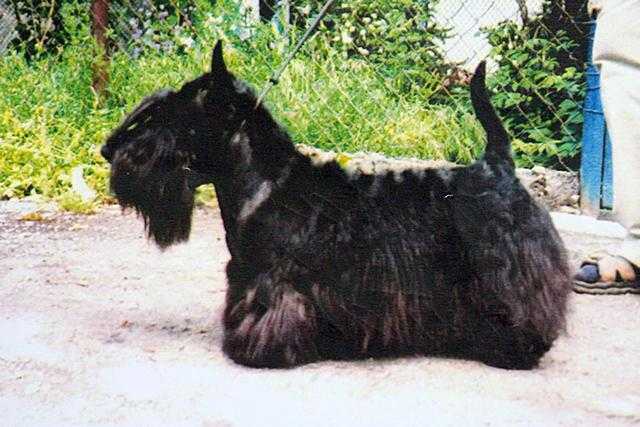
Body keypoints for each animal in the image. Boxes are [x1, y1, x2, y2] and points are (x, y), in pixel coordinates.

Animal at [102, 44, 572, 372]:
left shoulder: (275, 280)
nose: (109, 151)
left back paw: (514, 349)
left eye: (176, 115)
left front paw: (259, 351)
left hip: (502, 270)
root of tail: (498, 166)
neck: (266, 182)